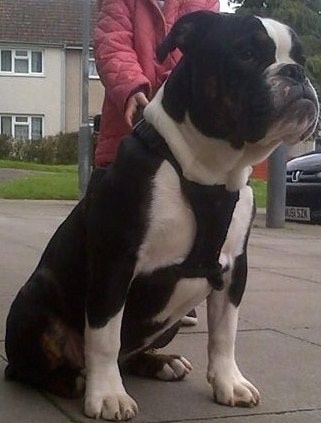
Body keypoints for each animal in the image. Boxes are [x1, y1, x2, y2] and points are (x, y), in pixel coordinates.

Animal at [4, 11, 318, 422]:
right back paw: (75, 379)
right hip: (34, 300)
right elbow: (104, 336)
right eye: (247, 54)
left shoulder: (234, 269)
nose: (296, 73)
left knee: (131, 352)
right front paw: (108, 395)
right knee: (30, 366)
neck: (210, 170)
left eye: (302, 59)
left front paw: (228, 383)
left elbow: (224, 334)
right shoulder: (115, 263)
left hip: (170, 321)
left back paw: (161, 362)